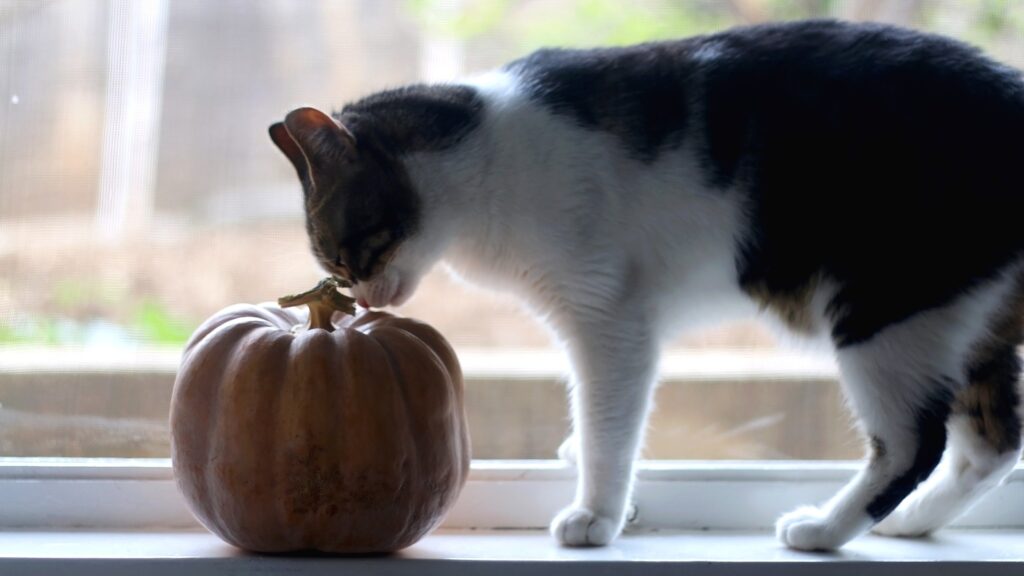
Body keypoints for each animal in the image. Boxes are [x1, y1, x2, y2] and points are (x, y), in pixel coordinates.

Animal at [266, 16, 1024, 545]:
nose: (362, 300)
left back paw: (822, 530)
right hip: (961, 321)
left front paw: (595, 514)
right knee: (990, 445)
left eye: (343, 257)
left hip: (884, 311)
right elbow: (596, 421)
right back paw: (913, 523)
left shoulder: (610, 319)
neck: (483, 157)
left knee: (914, 444)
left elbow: (608, 420)